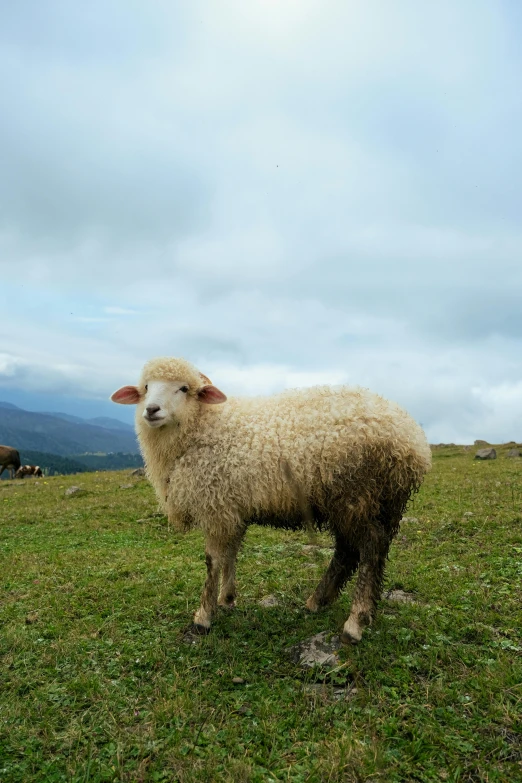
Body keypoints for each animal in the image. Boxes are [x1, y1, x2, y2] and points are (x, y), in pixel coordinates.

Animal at [110, 358, 430, 648]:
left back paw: (355, 622)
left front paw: (203, 616)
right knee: (350, 551)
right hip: (374, 502)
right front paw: (227, 598)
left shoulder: (215, 506)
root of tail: (412, 440)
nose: (152, 410)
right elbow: (231, 554)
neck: (203, 427)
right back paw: (319, 601)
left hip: (357, 495)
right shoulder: (231, 507)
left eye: (184, 388)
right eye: (146, 387)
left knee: (369, 550)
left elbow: (213, 561)